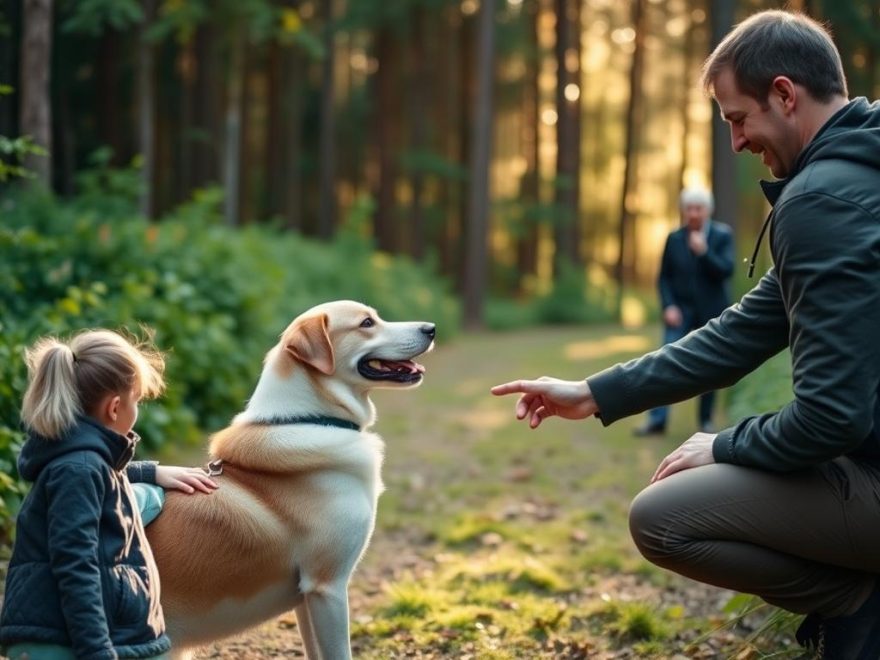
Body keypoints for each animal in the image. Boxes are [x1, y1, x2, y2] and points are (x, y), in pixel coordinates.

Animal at [147, 302, 436, 656]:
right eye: (367, 323)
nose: (431, 328)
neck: (311, 419)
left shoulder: (305, 599)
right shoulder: (327, 588)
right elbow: (339, 653)